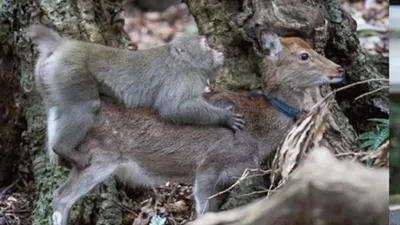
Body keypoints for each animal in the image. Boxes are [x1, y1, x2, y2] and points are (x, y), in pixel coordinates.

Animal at [27, 24, 244, 169]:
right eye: (206, 45)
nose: (218, 52)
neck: (185, 61)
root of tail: (62, 45)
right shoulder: (183, 76)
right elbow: (173, 108)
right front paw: (225, 117)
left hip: (48, 76)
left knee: (56, 108)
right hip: (70, 72)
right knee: (87, 107)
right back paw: (64, 149)